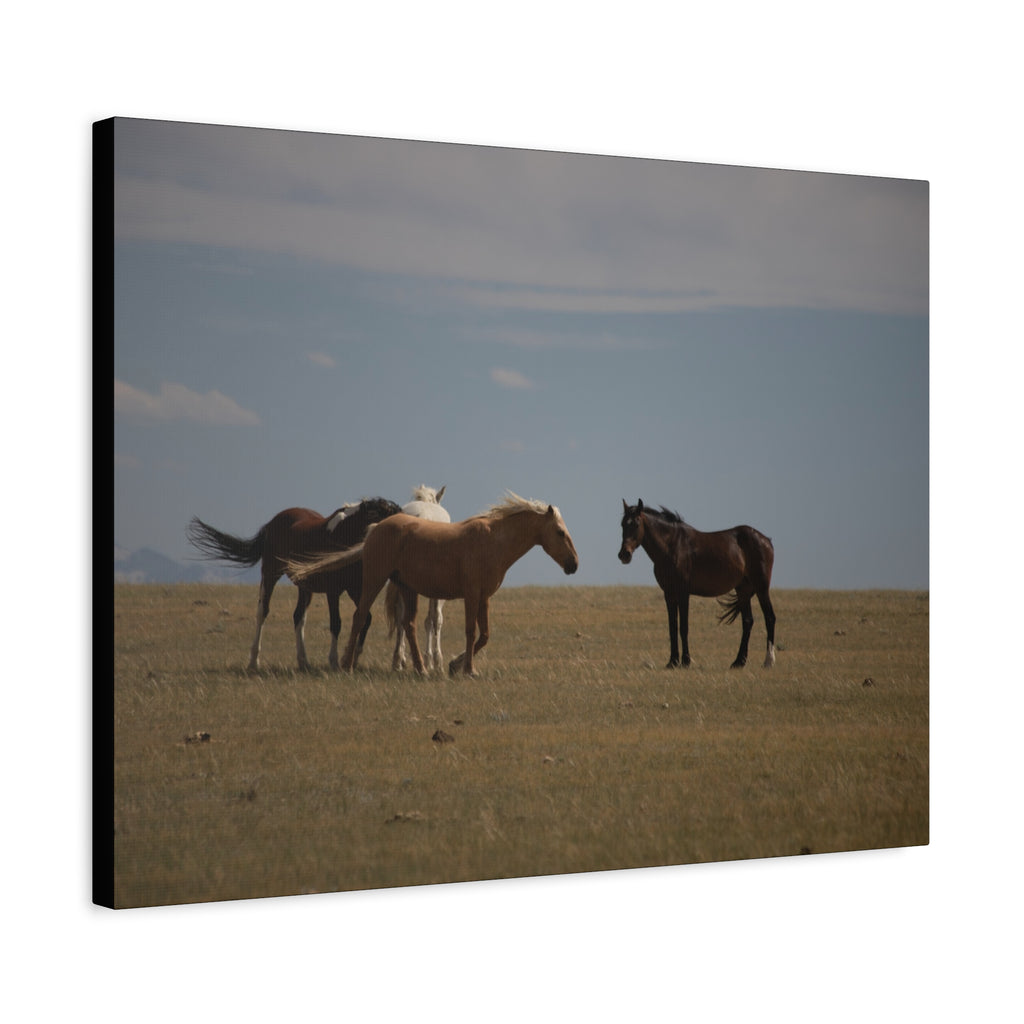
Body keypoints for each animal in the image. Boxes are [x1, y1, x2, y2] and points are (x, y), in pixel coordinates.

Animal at [186, 497, 401, 672]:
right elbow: (336, 623)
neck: (342, 535)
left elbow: (365, 618)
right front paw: (334, 661)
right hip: (270, 574)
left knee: (298, 617)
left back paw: (303, 662)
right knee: (262, 612)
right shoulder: (333, 592)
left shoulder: (355, 589)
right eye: (389, 515)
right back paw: (254, 661)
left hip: (304, 586)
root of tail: (272, 522)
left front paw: (353, 659)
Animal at [617, 499, 776, 669]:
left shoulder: (683, 593)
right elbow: (672, 627)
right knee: (747, 621)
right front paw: (672, 661)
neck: (672, 547)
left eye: (636, 524)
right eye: (623, 524)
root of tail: (766, 540)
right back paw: (738, 662)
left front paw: (686, 661)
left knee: (769, 617)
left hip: (761, 587)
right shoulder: (669, 594)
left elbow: (683, 627)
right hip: (743, 589)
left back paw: (768, 660)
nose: (624, 555)